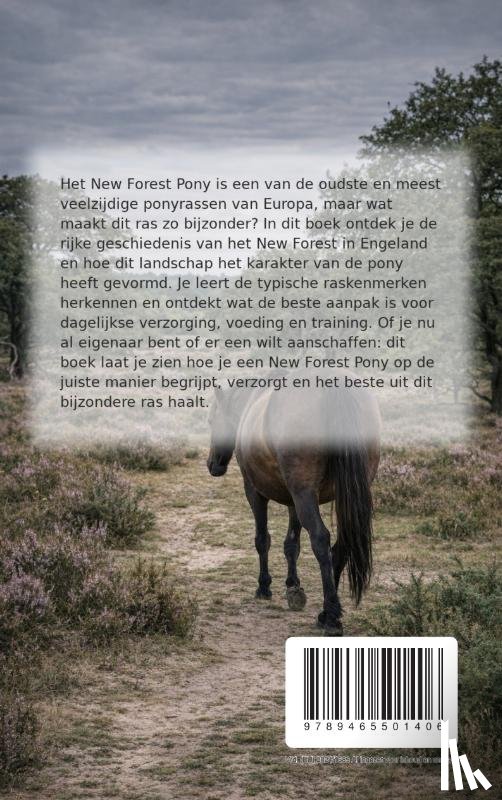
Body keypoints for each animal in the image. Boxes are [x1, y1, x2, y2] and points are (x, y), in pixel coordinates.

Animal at [206, 377, 380, 635]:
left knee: (320, 540)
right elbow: (292, 544)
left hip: (303, 495)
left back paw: (331, 617)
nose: (212, 465)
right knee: (341, 546)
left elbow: (262, 539)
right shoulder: (293, 500)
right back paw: (325, 613)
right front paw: (293, 585)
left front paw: (264, 587)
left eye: (211, 420)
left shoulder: (255, 492)